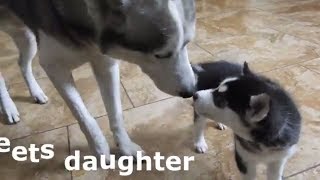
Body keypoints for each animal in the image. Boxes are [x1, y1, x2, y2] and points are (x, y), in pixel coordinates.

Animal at [0, 1, 196, 159]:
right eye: (160, 54)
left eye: (187, 43)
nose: (191, 91)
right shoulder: (54, 67)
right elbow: (83, 115)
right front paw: (99, 148)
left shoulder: (106, 64)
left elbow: (116, 112)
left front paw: (125, 147)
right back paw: (9, 108)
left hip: (26, 37)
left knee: (22, 64)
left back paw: (36, 92)